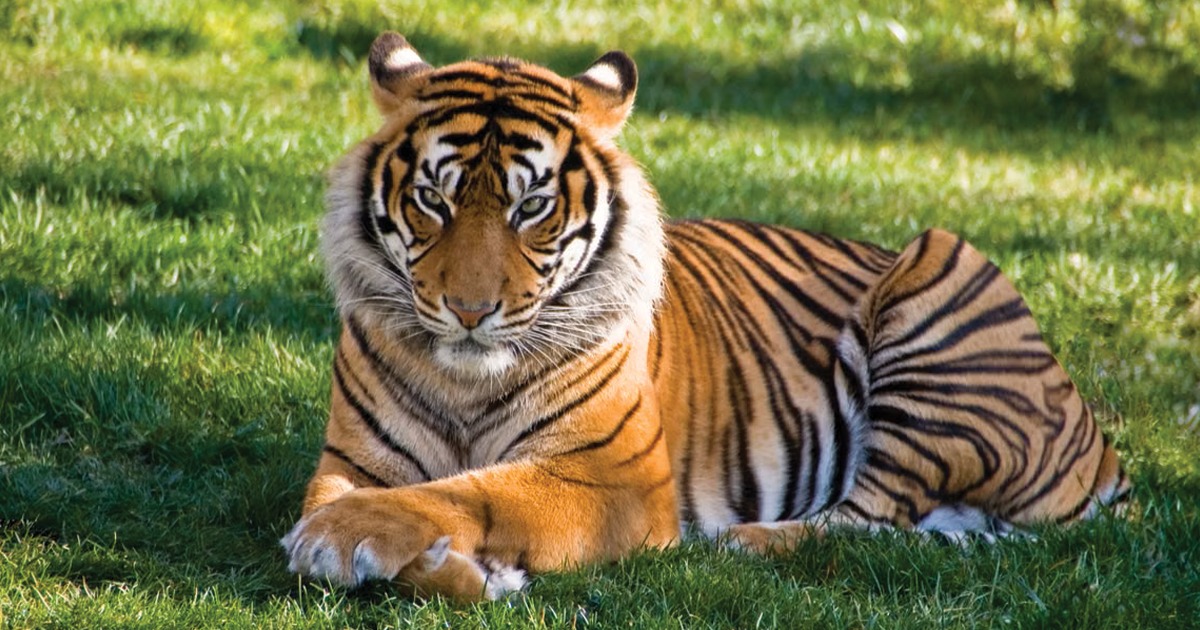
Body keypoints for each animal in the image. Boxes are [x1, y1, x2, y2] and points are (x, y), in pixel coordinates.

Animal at [281, 32, 1130, 601]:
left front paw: (342, 540)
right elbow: (381, 499)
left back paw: (743, 542)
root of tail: (1102, 447)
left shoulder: (613, 478)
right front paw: (450, 568)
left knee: (871, 516)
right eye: (434, 199)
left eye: (532, 208)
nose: (468, 311)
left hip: (941, 266)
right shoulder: (352, 459)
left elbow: (472, 491)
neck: (466, 381)